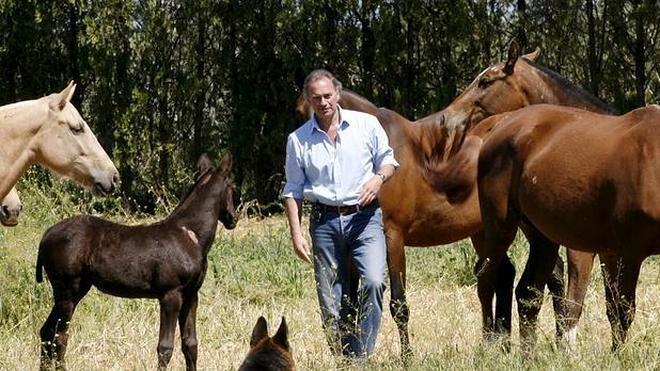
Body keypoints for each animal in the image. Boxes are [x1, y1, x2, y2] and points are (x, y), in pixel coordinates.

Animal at [35, 153, 237, 370]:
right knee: (59, 336)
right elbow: (165, 347)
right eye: (232, 188)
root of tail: (46, 236)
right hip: (67, 291)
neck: (190, 235)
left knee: (47, 332)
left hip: (76, 290)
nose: (233, 219)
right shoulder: (170, 294)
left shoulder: (191, 294)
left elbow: (191, 344)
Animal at [296, 42, 612, 356]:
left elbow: (398, 304)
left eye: (485, 81)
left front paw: (407, 357)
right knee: (518, 275)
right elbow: (348, 304)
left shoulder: (391, 236)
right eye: (300, 110)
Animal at [476, 104, 660, 352]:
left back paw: (529, 355)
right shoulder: (628, 253)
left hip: (542, 237)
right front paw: (619, 355)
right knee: (486, 279)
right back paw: (488, 344)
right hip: (500, 227)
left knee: (528, 293)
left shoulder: (611, 252)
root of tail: (501, 123)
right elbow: (622, 311)